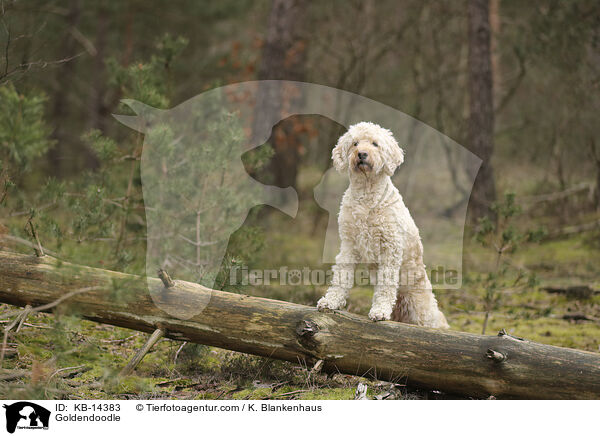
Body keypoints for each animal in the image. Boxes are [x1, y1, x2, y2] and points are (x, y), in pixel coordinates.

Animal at [316, 122, 448, 328]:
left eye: (375, 144)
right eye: (355, 143)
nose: (362, 153)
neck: (366, 194)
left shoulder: (390, 247)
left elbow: (386, 284)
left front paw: (379, 311)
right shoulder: (349, 245)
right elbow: (341, 277)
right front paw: (331, 301)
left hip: (420, 307)